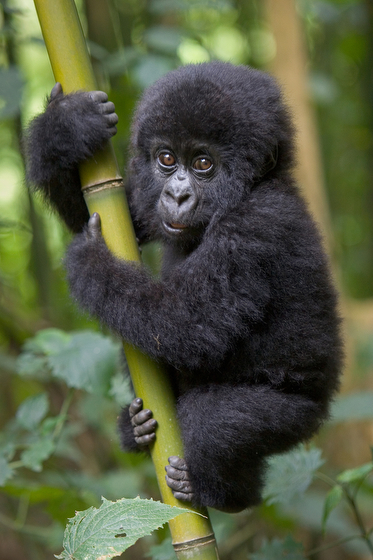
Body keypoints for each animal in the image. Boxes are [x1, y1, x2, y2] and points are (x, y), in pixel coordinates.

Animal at [24, 61, 342, 512]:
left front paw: (90, 264)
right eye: (167, 159)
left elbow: (188, 326)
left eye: (203, 163)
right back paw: (136, 429)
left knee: (213, 421)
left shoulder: (256, 226)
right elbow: (111, 215)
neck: (254, 188)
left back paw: (225, 493)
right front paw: (65, 126)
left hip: (298, 416)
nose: (176, 195)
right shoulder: (144, 203)